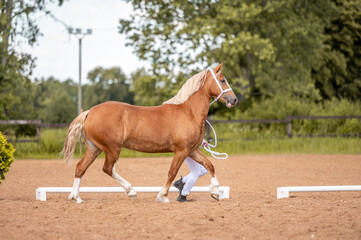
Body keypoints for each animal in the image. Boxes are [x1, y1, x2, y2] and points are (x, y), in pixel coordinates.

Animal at [61, 62, 236, 202]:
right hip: (112, 148)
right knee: (108, 168)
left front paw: (216, 191)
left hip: (94, 148)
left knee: (81, 168)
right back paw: (130, 190)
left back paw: (76, 197)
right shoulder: (181, 151)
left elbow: (210, 165)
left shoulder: (192, 150)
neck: (188, 112)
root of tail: (89, 112)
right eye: (222, 80)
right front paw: (162, 196)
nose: (234, 100)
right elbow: (172, 172)